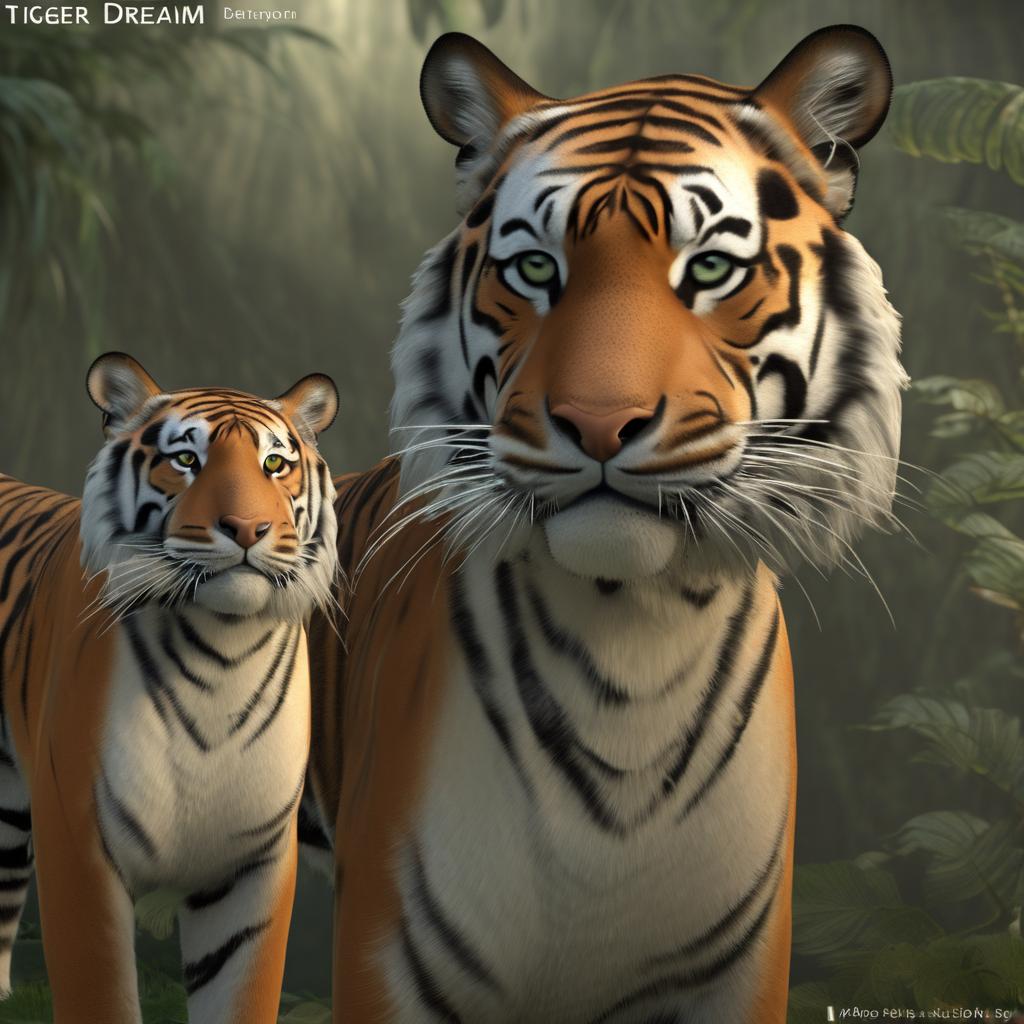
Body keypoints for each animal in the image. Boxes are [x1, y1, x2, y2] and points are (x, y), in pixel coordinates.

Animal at [0, 353, 339, 1023]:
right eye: (185, 460)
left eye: (275, 464)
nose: (249, 527)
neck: (223, 654)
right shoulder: (78, 844)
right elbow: (100, 994)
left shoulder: (255, 867)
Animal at [303, 24, 907, 1023]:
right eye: (535, 269)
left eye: (710, 268)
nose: (595, 422)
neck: (633, 640)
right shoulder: (386, 950)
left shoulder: (742, 968)